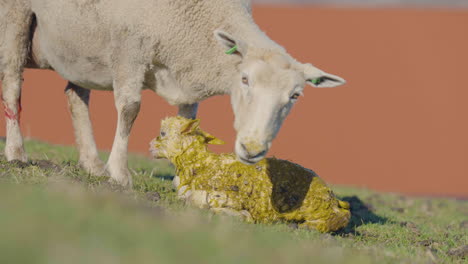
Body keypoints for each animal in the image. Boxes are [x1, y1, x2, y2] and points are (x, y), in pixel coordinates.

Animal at [0, 0, 344, 187]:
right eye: (245, 79)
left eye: (295, 96)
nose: (253, 149)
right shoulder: (129, 50)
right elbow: (130, 109)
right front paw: (119, 174)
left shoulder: (187, 74)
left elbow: (188, 126)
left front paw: (182, 176)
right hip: (16, 17)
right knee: (13, 85)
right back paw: (17, 152)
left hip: (80, 45)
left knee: (75, 95)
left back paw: (91, 163)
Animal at [150, 116, 352, 232]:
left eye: (163, 132)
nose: (150, 146)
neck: (202, 165)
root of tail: (333, 198)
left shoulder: (224, 196)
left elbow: (202, 202)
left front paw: (240, 215)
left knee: (338, 217)